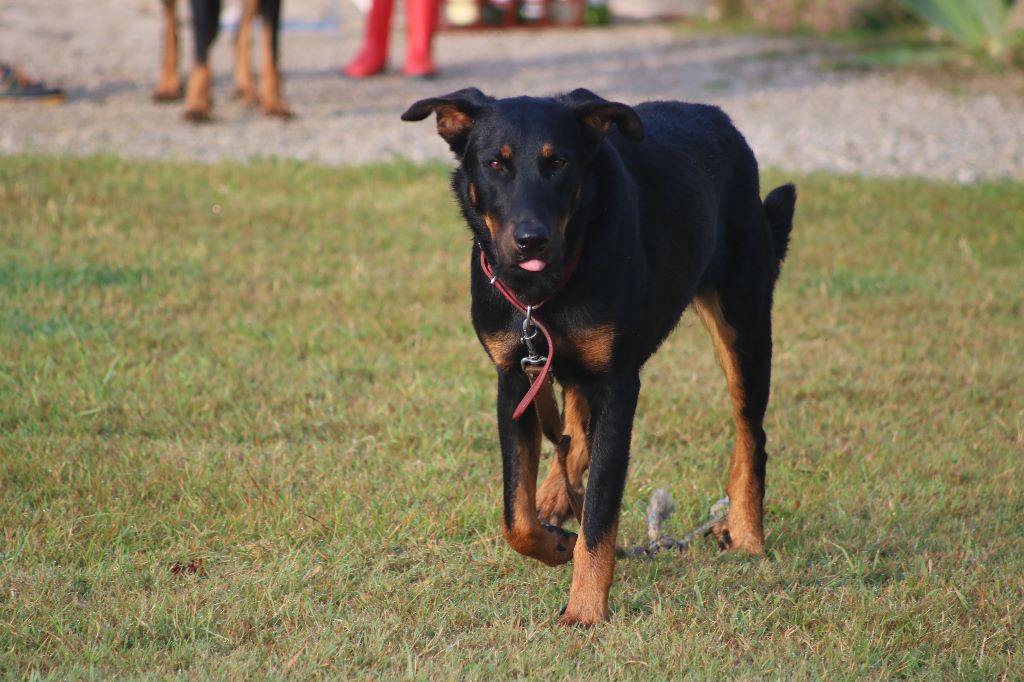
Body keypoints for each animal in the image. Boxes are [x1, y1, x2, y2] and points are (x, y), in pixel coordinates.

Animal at [403, 87, 794, 622]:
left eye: (558, 162)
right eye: (495, 163)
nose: (530, 239)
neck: (543, 292)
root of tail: (717, 117)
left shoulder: (618, 385)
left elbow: (600, 514)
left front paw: (585, 611)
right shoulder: (515, 378)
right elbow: (515, 515)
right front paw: (555, 542)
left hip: (744, 327)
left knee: (750, 434)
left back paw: (747, 532)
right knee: (572, 425)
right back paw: (554, 495)